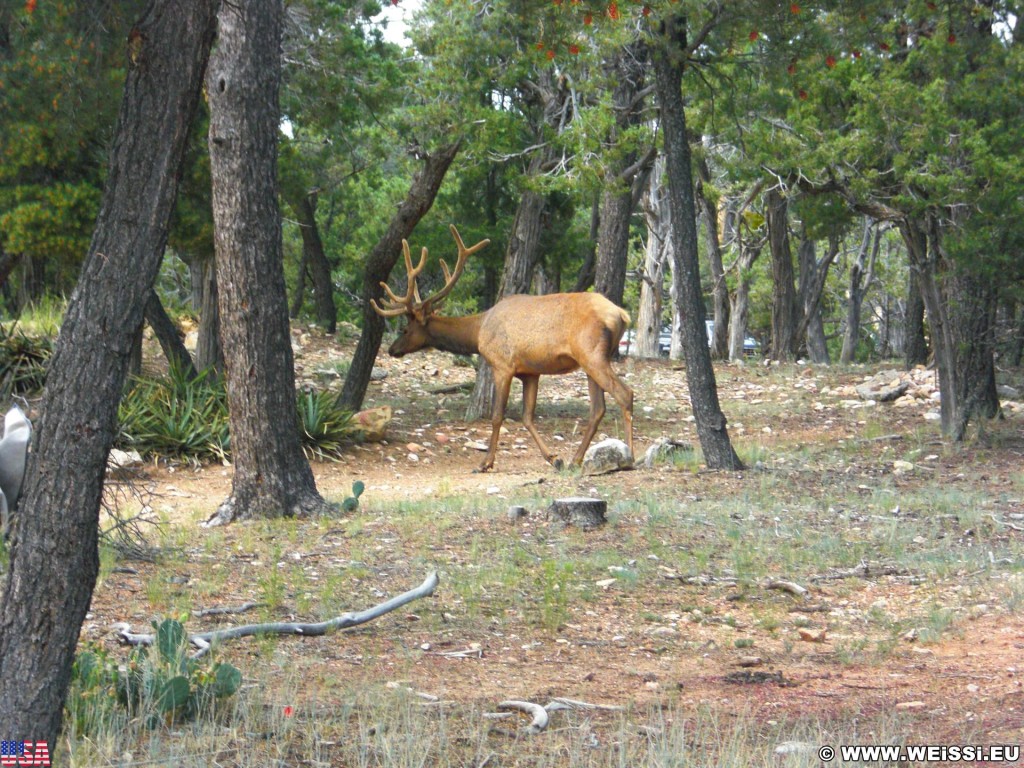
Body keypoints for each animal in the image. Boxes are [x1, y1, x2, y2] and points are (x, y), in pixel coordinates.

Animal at [376, 225, 630, 473]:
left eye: (405, 329)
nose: (392, 349)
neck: (478, 332)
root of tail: (621, 314)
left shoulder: (502, 365)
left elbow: (498, 416)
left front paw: (485, 463)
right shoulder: (530, 372)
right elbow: (527, 417)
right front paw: (553, 458)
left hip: (592, 354)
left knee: (625, 394)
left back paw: (630, 457)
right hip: (591, 361)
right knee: (598, 409)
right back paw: (575, 460)